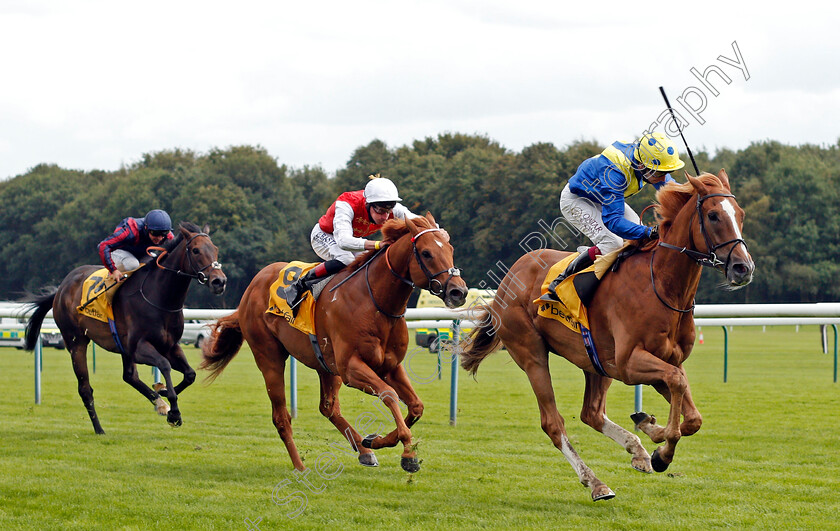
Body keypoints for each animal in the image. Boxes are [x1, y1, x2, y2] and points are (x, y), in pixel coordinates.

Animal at [23, 222, 226, 434]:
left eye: (215, 249)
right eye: (195, 250)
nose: (219, 281)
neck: (160, 297)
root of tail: (61, 289)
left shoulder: (169, 345)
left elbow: (190, 374)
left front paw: (162, 393)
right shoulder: (139, 348)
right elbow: (164, 365)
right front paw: (174, 412)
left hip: (121, 347)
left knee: (129, 376)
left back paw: (159, 404)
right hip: (76, 341)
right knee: (85, 388)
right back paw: (99, 429)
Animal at [201, 213, 470, 474]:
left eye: (450, 248)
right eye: (426, 253)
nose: (459, 291)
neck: (375, 303)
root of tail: (250, 289)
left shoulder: (390, 366)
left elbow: (415, 406)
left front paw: (376, 440)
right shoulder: (351, 368)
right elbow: (389, 395)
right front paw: (408, 454)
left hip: (326, 365)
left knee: (328, 407)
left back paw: (364, 450)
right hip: (270, 358)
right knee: (281, 416)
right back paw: (300, 466)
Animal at [460, 171, 756, 502]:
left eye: (740, 215)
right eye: (714, 215)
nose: (743, 268)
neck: (662, 285)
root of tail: (508, 280)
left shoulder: (667, 360)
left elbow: (691, 415)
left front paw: (653, 440)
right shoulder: (629, 363)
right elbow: (678, 388)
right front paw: (660, 447)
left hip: (595, 361)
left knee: (591, 413)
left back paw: (637, 451)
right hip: (532, 354)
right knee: (553, 423)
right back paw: (596, 482)